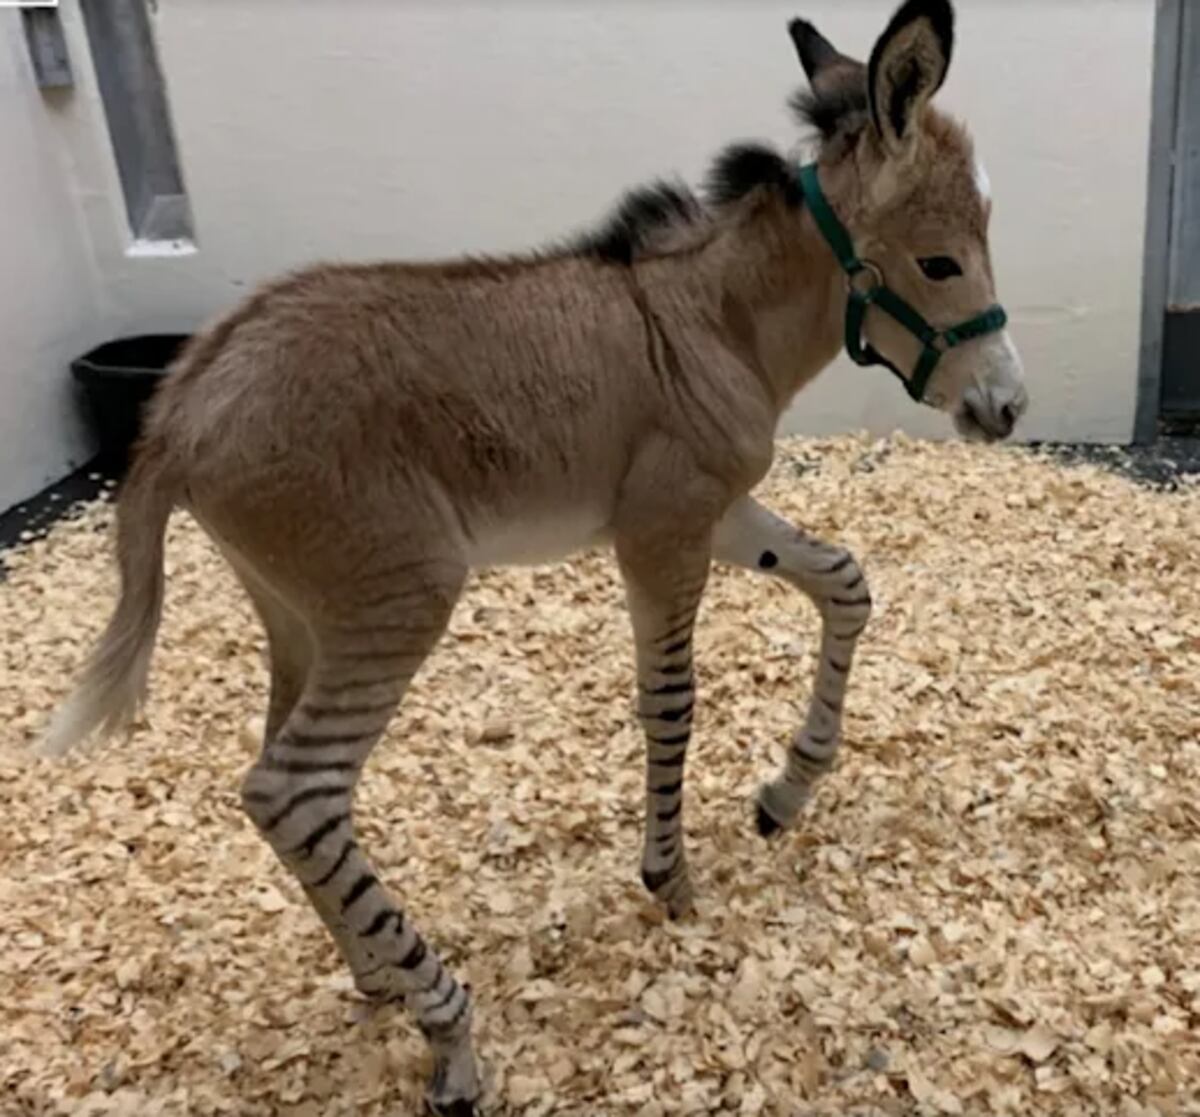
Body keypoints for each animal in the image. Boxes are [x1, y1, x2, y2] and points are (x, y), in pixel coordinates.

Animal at [42, 4, 1027, 1113]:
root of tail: (179, 408)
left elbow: (844, 581)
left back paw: (376, 974)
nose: (1007, 406)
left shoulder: (720, 511)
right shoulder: (662, 530)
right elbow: (672, 701)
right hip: (398, 601)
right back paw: (451, 1034)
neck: (715, 323)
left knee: (282, 791)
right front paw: (669, 877)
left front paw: (787, 791)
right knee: (294, 790)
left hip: (296, 617)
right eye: (941, 263)